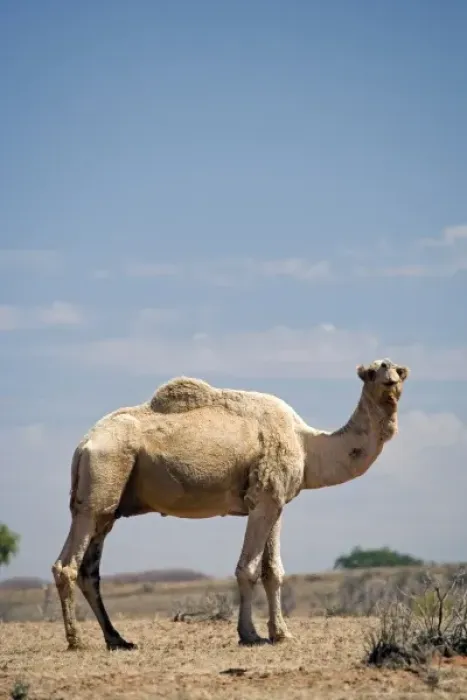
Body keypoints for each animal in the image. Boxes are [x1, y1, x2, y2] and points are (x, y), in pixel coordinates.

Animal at [52, 357, 409, 651]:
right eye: (371, 371)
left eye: (398, 369)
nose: (389, 373)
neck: (308, 446)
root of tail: (83, 444)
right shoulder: (263, 498)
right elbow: (248, 569)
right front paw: (250, 634)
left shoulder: (275, 501)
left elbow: (272, 571)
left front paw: (282, 634)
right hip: (103, 475)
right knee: (67, 565)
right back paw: (77, 640)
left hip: (106, 502)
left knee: (89, 570)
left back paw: (117, 639)